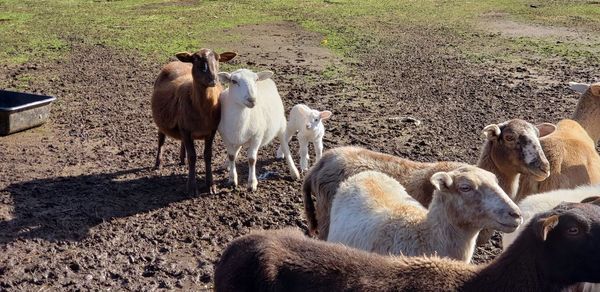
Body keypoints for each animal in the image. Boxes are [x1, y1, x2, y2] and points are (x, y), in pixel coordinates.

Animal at [152, 48, 237, 195]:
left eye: (218, 59)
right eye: (196, 59)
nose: (213, 79)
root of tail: (175, 62)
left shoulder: (211, 131)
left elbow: (207, 155)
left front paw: (211, 185)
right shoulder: (186, 130)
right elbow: (193, 156)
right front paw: (191, 187)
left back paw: (182, 159)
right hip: (163, 123)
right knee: (161, 140)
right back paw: (159, 163)